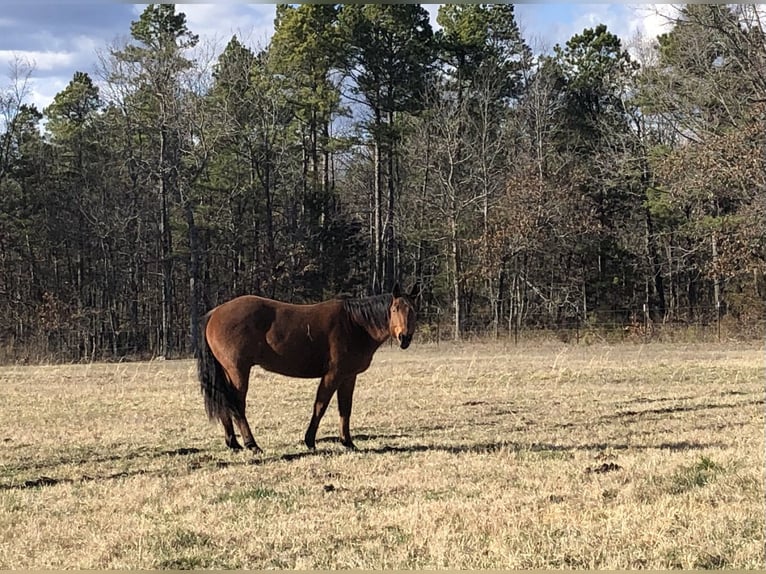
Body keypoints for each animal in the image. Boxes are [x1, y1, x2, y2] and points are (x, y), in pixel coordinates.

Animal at [195, 283, 419, 452]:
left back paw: (233, 443)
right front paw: (310, 441)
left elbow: (345, 408)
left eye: (413, 311)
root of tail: (214, 313)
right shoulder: (333, 375)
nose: (404, 338)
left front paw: (348, 442)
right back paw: (252, 444)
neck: (354, 324)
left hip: (227, 372)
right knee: (237, 405)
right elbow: (320, 406)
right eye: (394, 309)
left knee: (225, 402)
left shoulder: (348, 377)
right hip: (238, 371)